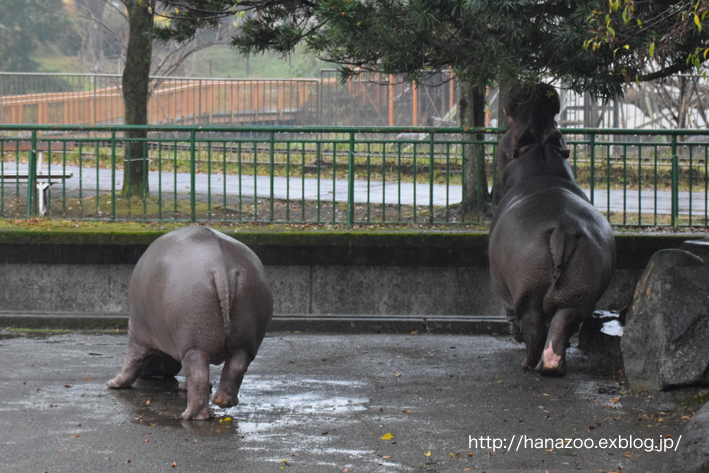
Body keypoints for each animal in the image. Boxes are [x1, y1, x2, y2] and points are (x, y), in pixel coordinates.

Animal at [109, 227, 272, 418]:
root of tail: (222, 268)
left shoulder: (138, 334)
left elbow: (131, 361)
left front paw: (113, 383)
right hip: (243, 340)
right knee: (235, 367)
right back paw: (222, 401)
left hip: (193, 344)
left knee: (197, 374)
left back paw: (190, 416)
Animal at [486, 85, 612, 376]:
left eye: (508, 127)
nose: (534, 90)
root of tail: (562, 230)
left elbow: (510, 310)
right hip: (578, 294)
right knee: (563, 323)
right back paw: (553, 366)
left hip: (528, 291)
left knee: (532, 326)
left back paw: (527, 364)